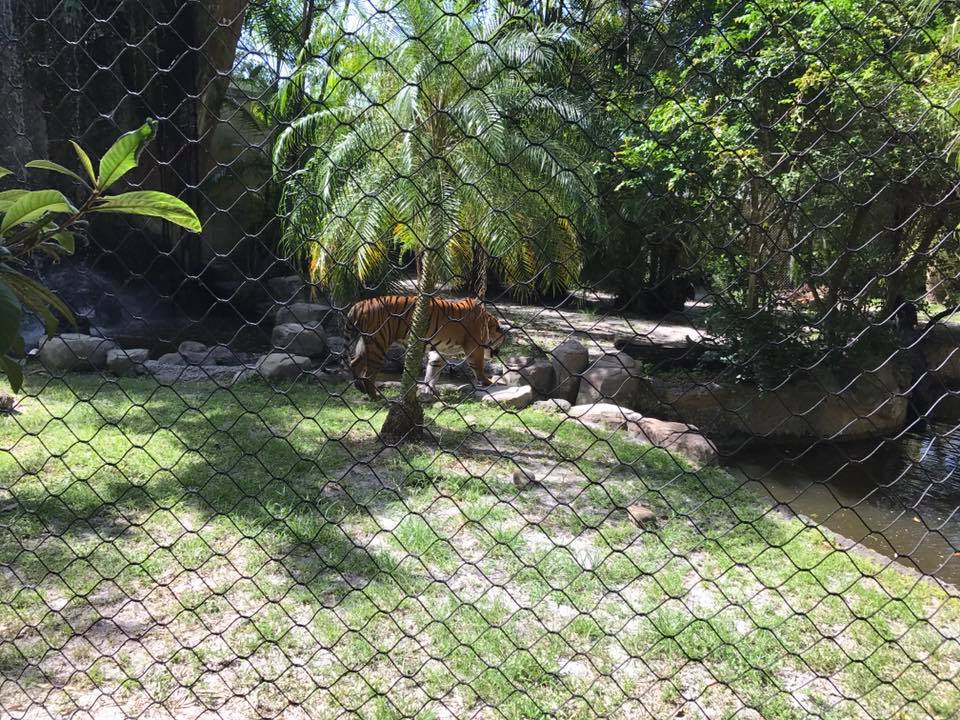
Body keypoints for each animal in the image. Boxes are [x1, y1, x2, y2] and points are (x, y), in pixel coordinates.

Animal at [347, 295, 508, 399]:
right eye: (501, 342)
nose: (498, 352)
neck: (487, 322)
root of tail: (358, 305)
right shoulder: (474, 347)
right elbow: (479, 367)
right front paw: (488, 382)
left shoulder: (441, 350)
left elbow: (433, 370)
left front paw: (428, 390)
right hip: (378, 343)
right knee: (369, 374)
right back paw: (374, 396)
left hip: (367, 343)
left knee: (354, 363)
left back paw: (359, 388)